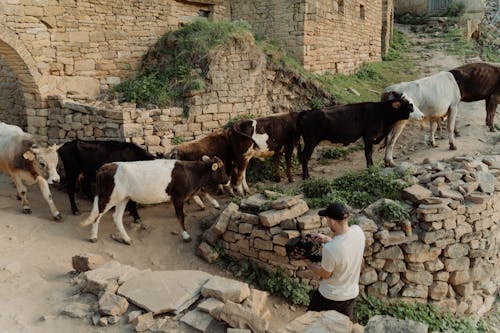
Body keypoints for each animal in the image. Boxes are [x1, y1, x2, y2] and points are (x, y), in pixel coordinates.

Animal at [80, 154, 229, 243]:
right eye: (221, 169)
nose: (228, 180)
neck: (191, 172)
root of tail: (106, 166)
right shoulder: (178, 197)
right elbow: (180, 216)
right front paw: (186, 235)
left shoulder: (189, 191)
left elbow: (202, 192)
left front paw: (215, 203)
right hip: (110, 197)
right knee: (98, 214)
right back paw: (93, 236)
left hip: (123, 198)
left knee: (116, 217)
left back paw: (127, 239)